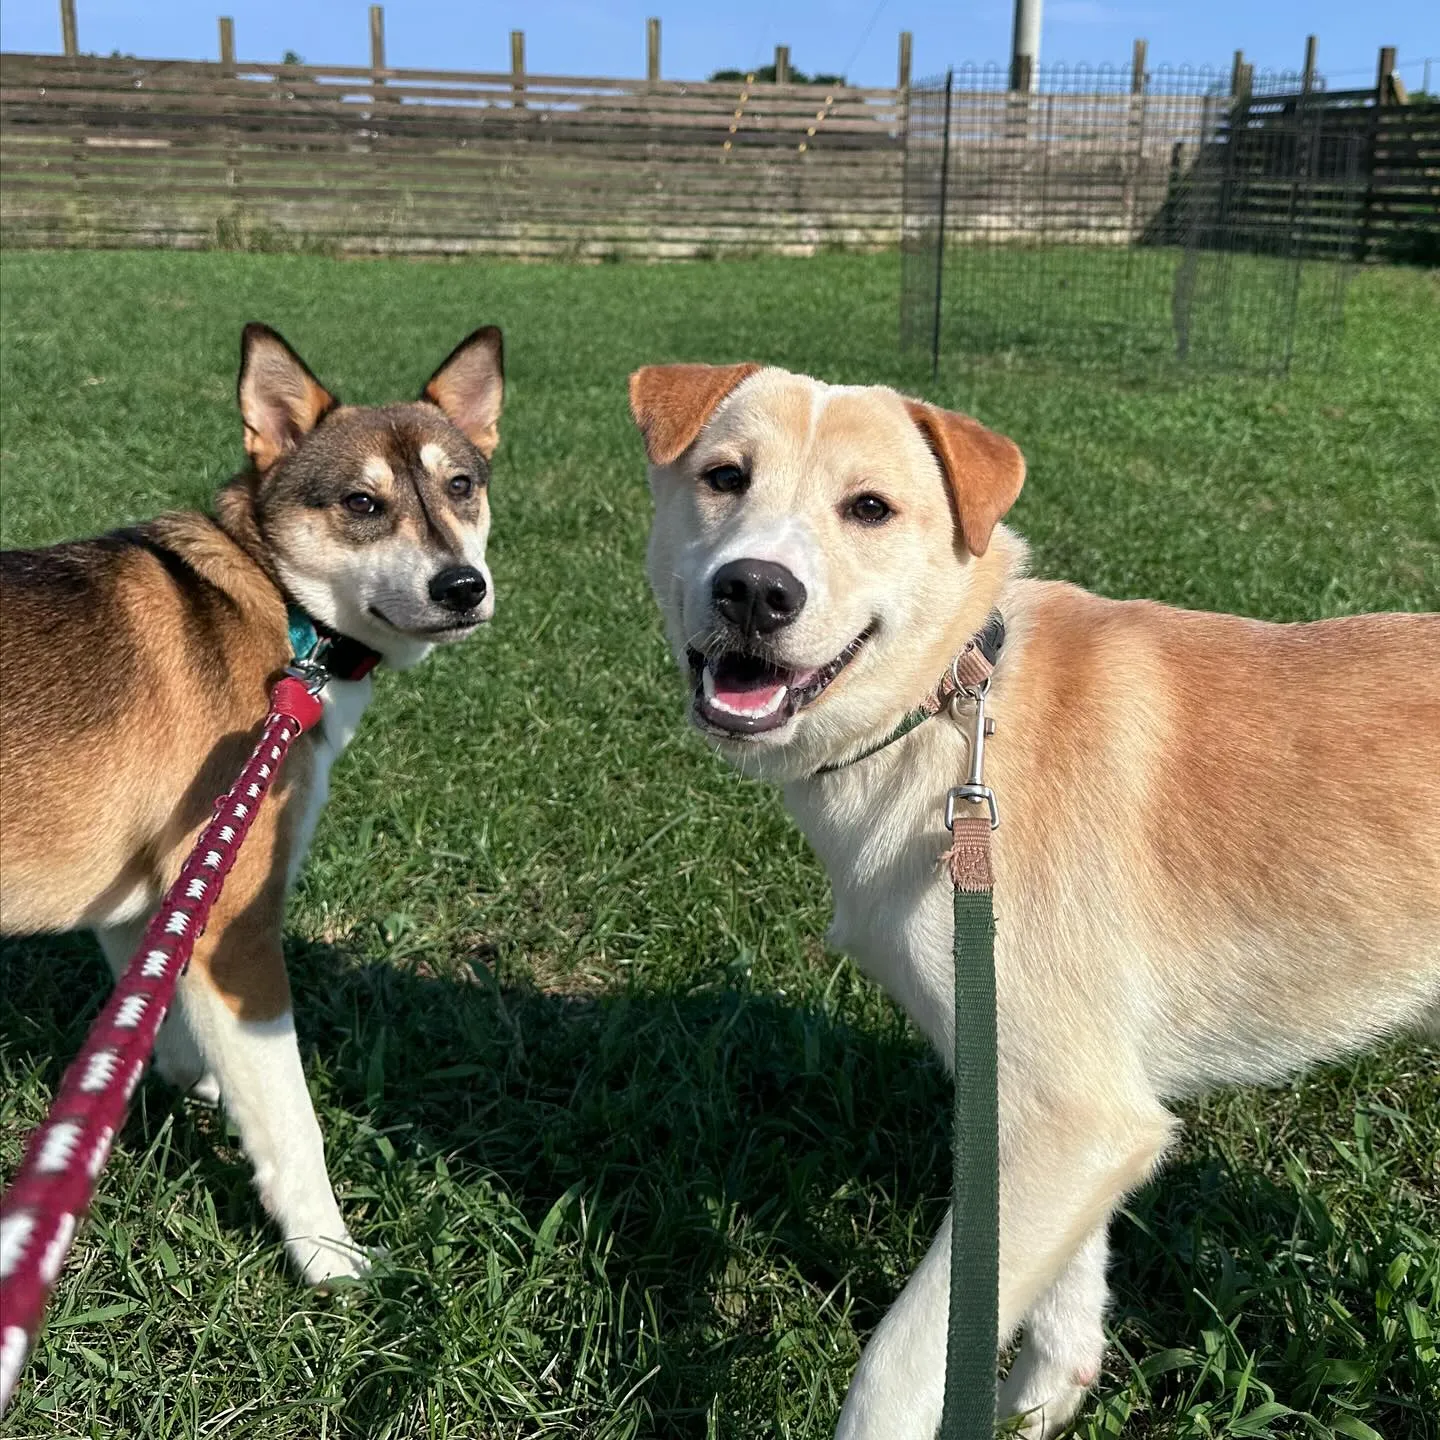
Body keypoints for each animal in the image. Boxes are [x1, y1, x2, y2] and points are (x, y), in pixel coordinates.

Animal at [0, 324, 506, 1284]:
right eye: (361, 503)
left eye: (461, 486)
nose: (463, 587)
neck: (285, 610)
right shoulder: (237, 923)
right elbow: (293, 1121)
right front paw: (330, 1258)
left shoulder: (153, 893)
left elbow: (153, 1002)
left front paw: (184, 1075)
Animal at [627, 362, 1440, 1440]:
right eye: (724, 477)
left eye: (870, 507)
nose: (756, 590)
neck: (954, 710)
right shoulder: (1057, 1114)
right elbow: (1060, 1303)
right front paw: (1038, 1407)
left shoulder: (1074, 1116)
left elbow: (900, 1364)